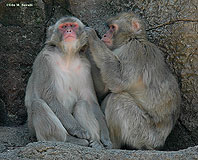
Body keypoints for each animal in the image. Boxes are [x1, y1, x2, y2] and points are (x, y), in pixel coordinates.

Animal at [24, 16, 111, 149]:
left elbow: (90, 101)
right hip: (32, 129)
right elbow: (49, 97)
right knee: (37, 104)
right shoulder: (45, 59)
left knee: (82, 104)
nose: (69, 31)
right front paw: (78, 130)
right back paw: (68, 140)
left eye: (73, 26)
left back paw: (95, 142)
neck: (68, 56)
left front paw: (105, 137)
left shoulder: (85, 66)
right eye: (64, 26)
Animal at [86, 12, 180, 150]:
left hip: (143, 133)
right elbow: (104, 89)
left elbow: (118, 81)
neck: (131, 39)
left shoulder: (134, 50)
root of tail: (159, 144)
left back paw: (111, 144)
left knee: (118, 99)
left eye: (112, 28)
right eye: (109, 28)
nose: (104, 35)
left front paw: (92, 38)